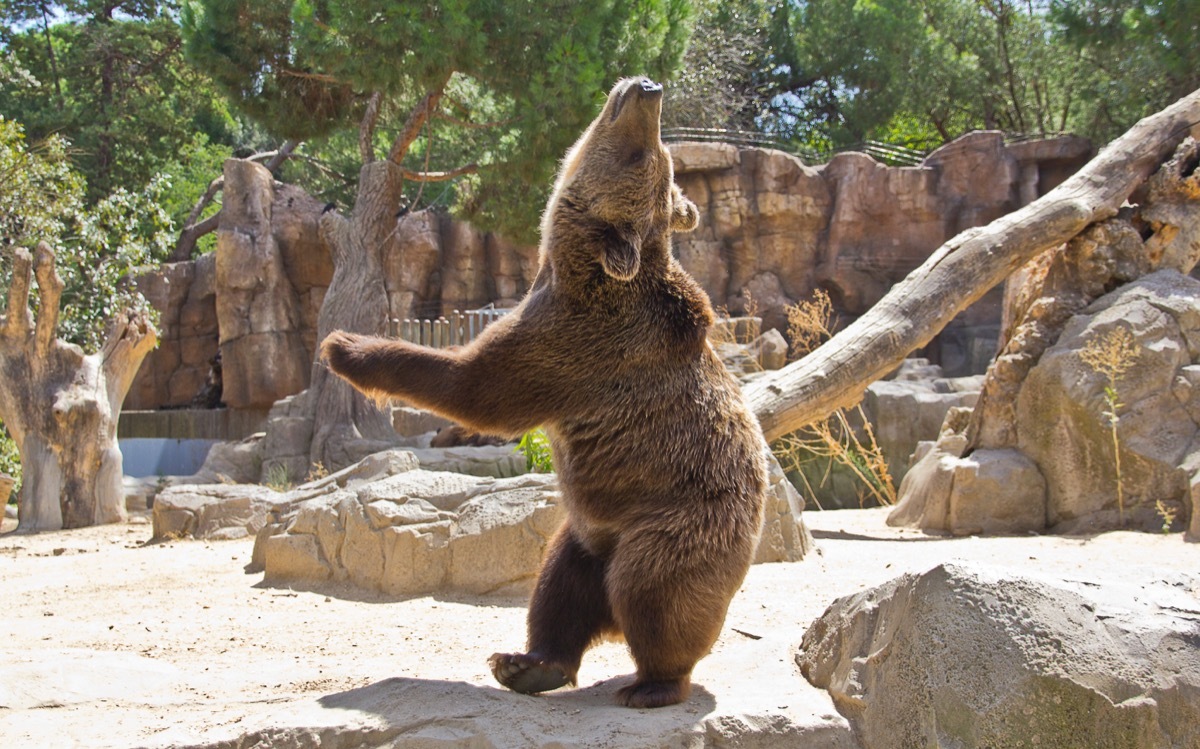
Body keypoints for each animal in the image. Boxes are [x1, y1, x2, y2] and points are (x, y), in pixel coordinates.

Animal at [321, 77, 768, 705]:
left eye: (645, 156)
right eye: (661, 158)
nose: (649, 88)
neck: (566, 264)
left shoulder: (575, 345)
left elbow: (476, 387)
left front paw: (346, 346)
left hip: (676, 522)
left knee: (653, 593)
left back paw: (651, 684)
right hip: (585, 531)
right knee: (558, 587)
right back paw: (527, 663)